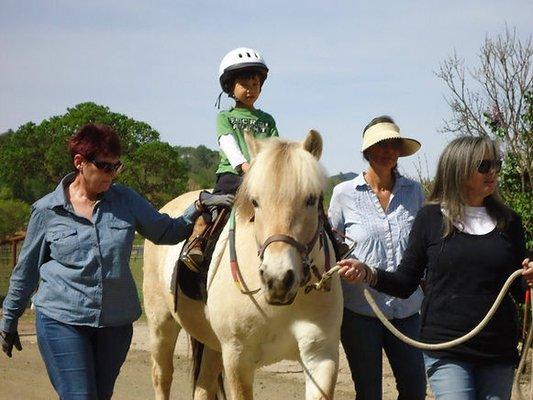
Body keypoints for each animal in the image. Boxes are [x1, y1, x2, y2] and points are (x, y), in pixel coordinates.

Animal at [142, 131, 340, 400]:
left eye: (310, 199)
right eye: (254, 202)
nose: (278, 280)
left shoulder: (321, 356)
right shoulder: (238, 358)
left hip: (212, 345)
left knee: (203, 386)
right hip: (161, 325)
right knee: (162, 377)